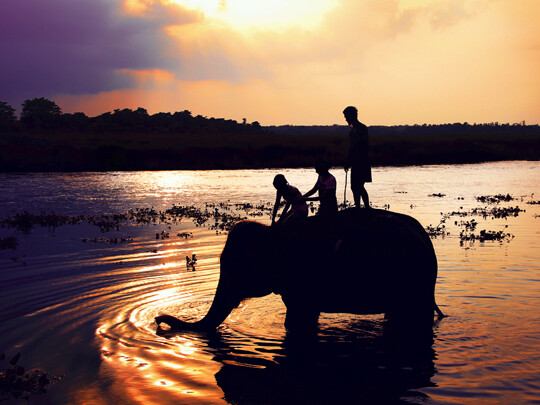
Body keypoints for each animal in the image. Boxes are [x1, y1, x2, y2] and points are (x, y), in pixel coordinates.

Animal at [155, 208, 442, 332]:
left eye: (237, 267)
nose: (158, 320)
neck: (274, 232)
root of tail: (425, 238)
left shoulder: (302, 280)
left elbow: (298, 319)